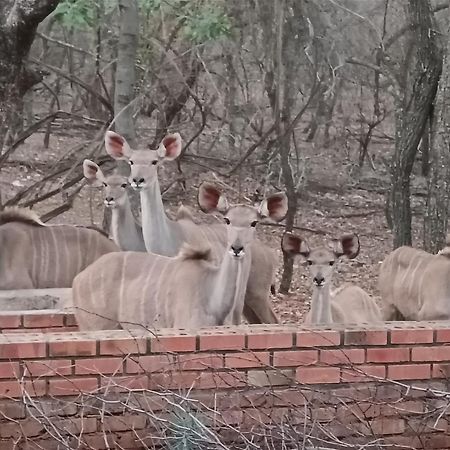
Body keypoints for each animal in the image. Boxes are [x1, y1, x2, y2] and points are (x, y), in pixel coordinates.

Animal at [72, 182, 286, 330]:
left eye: (254, 222)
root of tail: (78, 279)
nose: (236, 248)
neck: (212, 297)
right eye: (227, 220)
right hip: (95, 325)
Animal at [103, 130, 284, 324]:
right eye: (131, 161)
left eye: (154, 161)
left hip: (253, 295)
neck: (170, 237)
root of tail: (269, 253)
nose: (137, 180)